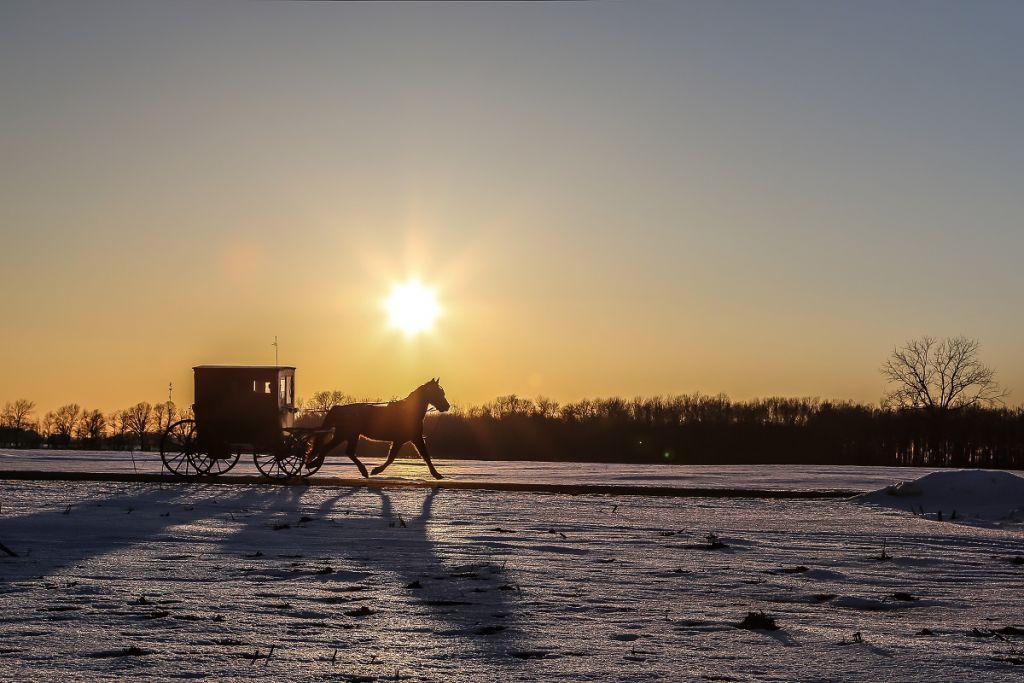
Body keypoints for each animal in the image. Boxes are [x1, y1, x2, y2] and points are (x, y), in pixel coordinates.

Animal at [309, 378, 450, 481]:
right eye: (438, 393)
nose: (447, 406)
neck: (408, 412)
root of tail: (339, 408)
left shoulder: (409, 439)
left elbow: (420, 456)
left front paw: (436, 474)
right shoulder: (409, 439)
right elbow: (397, 457)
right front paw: (376, 470)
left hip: (350, 435)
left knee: (344, 451)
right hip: (344, 434)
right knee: (329, 448)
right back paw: (316, 464)